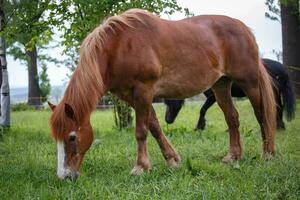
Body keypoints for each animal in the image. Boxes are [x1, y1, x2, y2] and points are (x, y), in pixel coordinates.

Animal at [48, 9, 276, 181]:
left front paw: (140, 167)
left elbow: (141, 130)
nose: (64, 176)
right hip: (221, 86)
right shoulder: (131, 96)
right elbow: (155, 126)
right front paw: (172, 160)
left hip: (250, 84)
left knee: (262, 116)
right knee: (232, 118)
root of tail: (244, 29)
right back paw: (233, 157)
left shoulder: (143, 90)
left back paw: (268, 155)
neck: (119, 46)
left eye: (72, 137)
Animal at [165, 57, 296, 130]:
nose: (167, 120)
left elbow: (202, 109)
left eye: (169, 101)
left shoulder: (213, 97)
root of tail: (282, 68)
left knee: (277, 107)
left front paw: (199, 126)